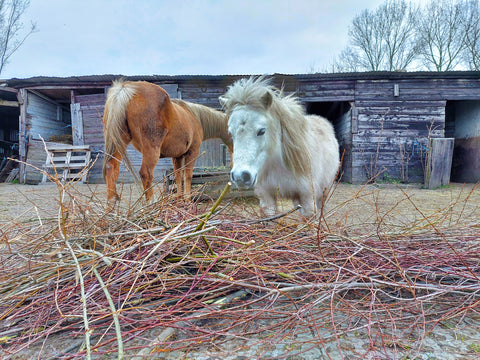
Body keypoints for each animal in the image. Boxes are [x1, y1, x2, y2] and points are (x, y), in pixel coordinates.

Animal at [102, 80, 232, 204]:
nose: (232, 165)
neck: (195, 116)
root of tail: (125, 89)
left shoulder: (177, 157)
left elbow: (178, 176)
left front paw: (179, 198)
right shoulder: (192, 152)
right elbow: (188, 176)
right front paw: (187, 199)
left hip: (119, 143)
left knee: (111, 168)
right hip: (151, 150)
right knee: (145, 173)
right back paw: (151, 203)